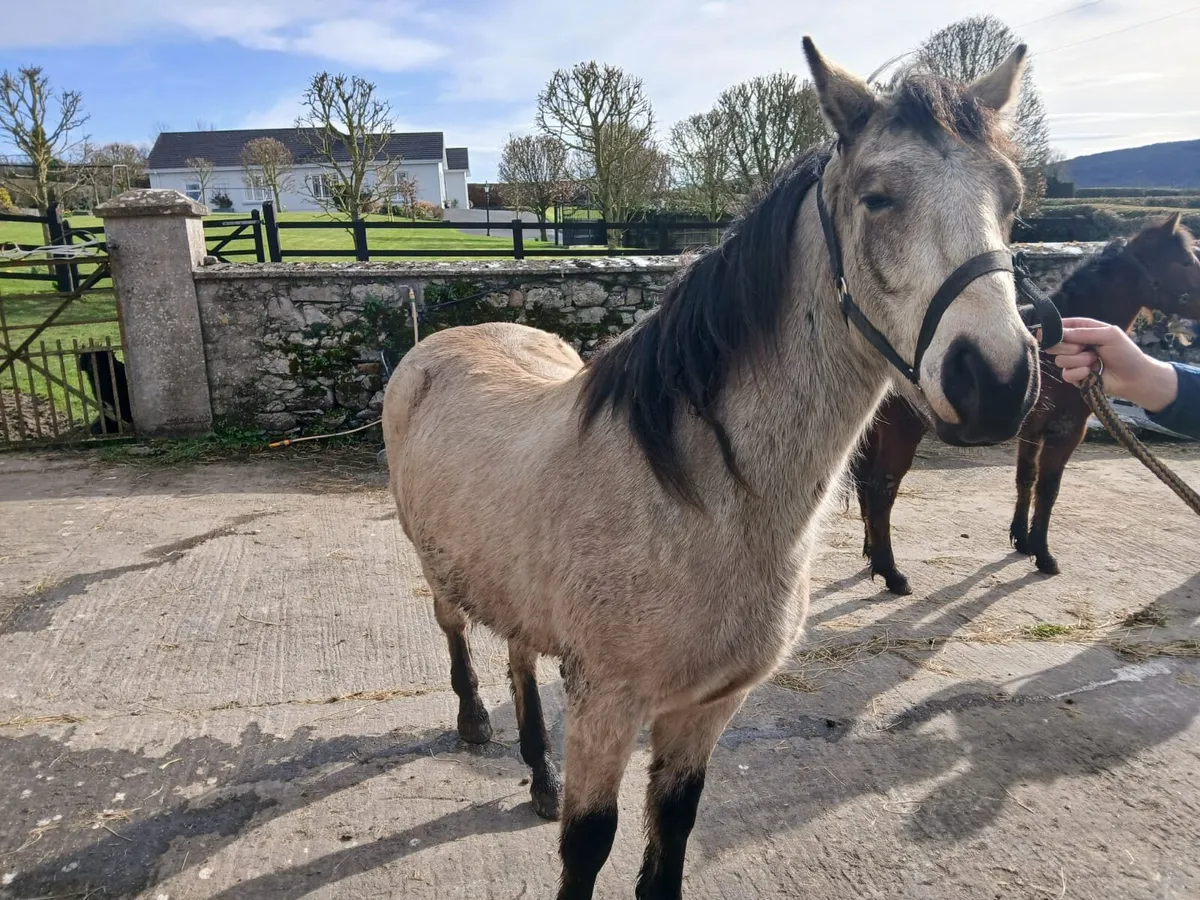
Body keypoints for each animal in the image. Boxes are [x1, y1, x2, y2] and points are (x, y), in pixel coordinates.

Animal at [384, 39, 1039, 899]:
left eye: (1013, 200)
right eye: (878, 197)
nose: (996, 381)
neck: (695, 498)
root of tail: (437, 342)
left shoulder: (705, 710)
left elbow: (671, 840)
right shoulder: (607, 703)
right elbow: (588, 845)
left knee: (520, 655)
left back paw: (538, 775)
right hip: (438, 568)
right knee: (456, 630)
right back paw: (473, 724)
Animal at [853, 213, 1200, 595]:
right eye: (1186, 261)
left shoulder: (1032, 432)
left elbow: (1026, 479)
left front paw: (1022, 540)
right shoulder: (1067, 432)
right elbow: (1049, 488)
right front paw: (1044, 554)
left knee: (863, 483)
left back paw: (871, 552)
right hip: (901, 431)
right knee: (881, 489)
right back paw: (891, 572)